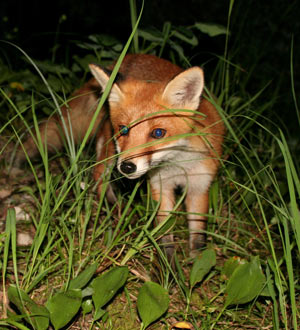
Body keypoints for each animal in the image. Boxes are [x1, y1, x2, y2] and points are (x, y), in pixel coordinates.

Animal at [14, 54, 225, 258]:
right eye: (124, 129)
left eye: (158, 133)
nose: (127, 167)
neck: (178, 165)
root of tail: (130, 56)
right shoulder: (160, 186)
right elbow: (165, 237)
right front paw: (170, 268)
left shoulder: (200, 186)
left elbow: (198, 237)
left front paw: (195, 264)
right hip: (110, 150)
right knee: (98, 176)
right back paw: (116, 209)